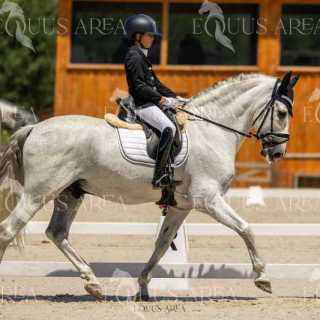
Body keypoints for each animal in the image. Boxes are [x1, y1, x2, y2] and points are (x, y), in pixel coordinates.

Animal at [0, 72, 300, 300]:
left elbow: (162, 243)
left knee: (57, 233)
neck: (211, 131)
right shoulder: (208, 199)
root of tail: (34, 128)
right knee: (9, 230)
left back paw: (93, 283)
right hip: (39, 193)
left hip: (70, 194)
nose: (277, 153)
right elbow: (245, 228)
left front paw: (143, 286)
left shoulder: (181, 206)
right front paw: (262, 277)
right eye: (282, 112)